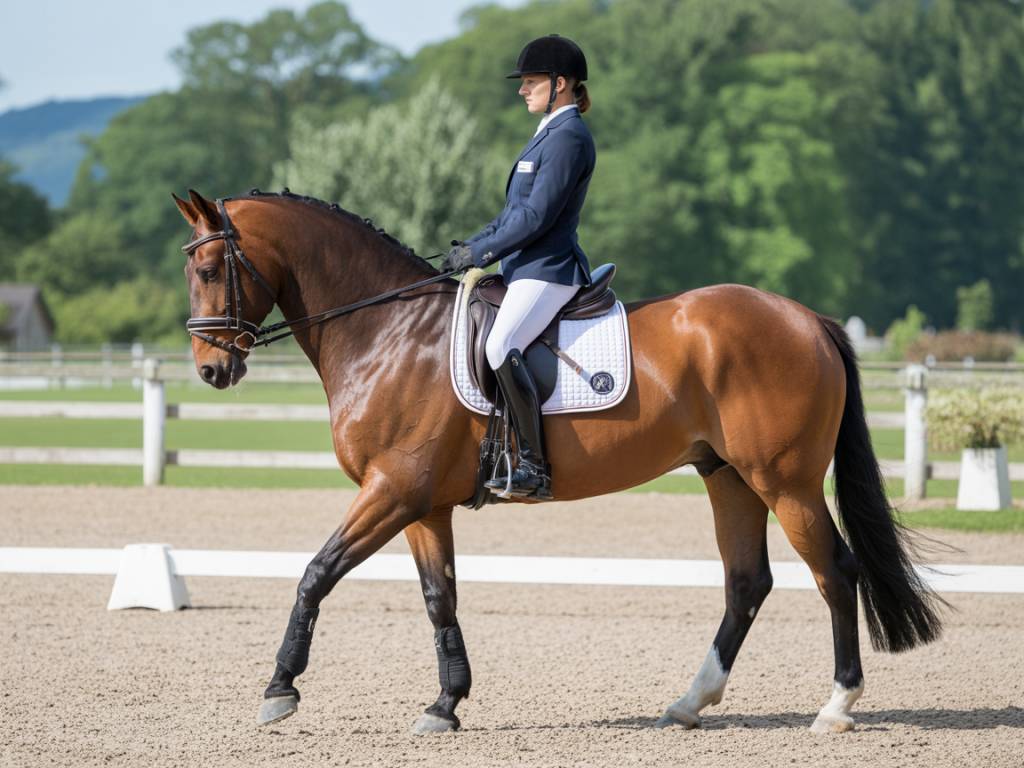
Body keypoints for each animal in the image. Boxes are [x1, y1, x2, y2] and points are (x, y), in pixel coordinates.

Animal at [173, 188, 942, 735]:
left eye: (209, 269)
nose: (212, 370)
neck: (387, 332)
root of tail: (807, 319)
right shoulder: (421, 502)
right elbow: (438, 596)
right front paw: (446, 704)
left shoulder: (392, 490)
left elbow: (316, 574)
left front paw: (280, 690)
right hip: (728, 477)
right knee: (747, 583)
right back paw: (689, 703)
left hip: (786, 482)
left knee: (835, 573)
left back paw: (836, 707)